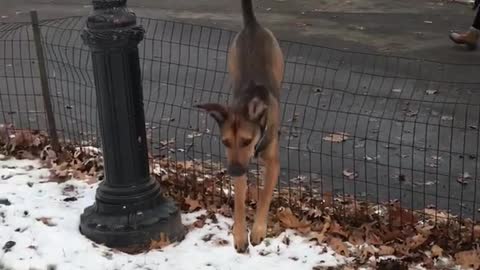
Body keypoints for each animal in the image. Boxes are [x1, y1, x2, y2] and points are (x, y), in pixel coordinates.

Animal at [196, 0, 284, 253]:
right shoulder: (237, 163)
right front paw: (239, 235)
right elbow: (239, 202)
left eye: (246, 140)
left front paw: (258, 230)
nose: (234, 170)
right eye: (225, 142)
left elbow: (265, 196)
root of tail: (252, 24)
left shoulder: (273, 163)